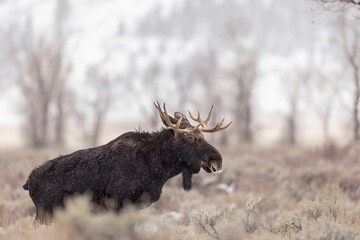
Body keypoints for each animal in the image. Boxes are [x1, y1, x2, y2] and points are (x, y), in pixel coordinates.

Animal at [23, 101, 231, 223]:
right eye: (190, 138)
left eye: (203, 136)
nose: (218, 159)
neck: (158, 169)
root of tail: (28, 182)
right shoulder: (117, 203)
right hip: (45, 213)